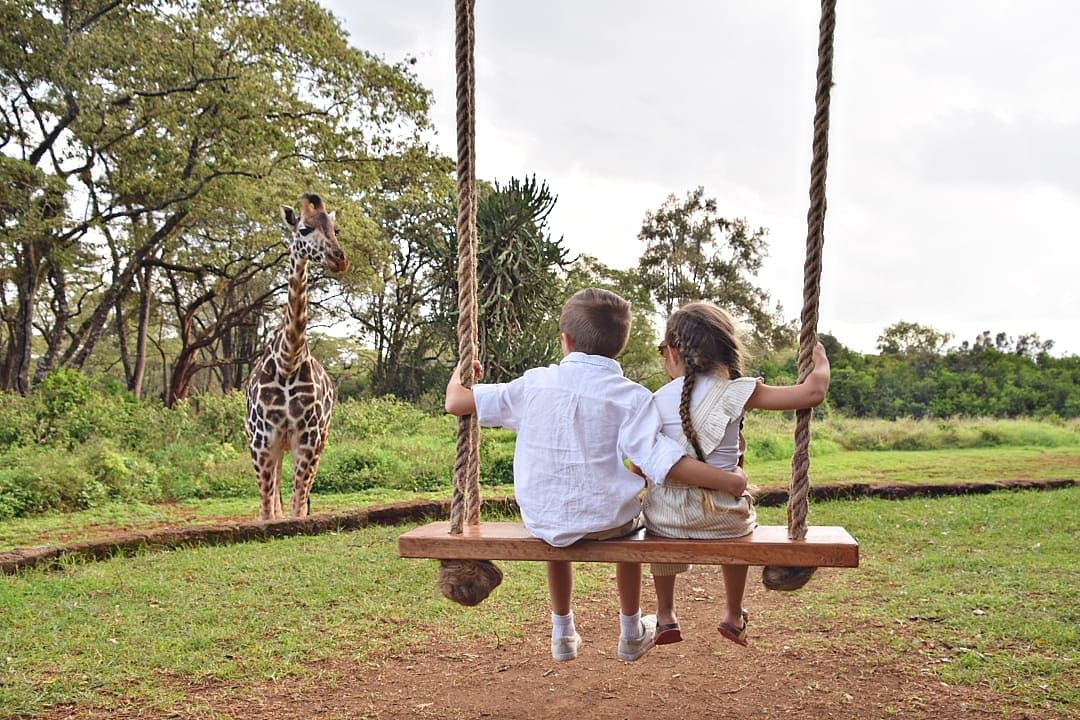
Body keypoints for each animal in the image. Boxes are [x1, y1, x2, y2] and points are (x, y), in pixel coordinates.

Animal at [245, 193, 348, 521]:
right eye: (304, 229)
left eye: (335, 229)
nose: (339, 258)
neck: (287, 361)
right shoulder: (263, 440)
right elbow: (267, 512)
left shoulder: (309, 439)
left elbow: (298, 510)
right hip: (270, 443)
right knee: (274, 489)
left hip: (316, 440)